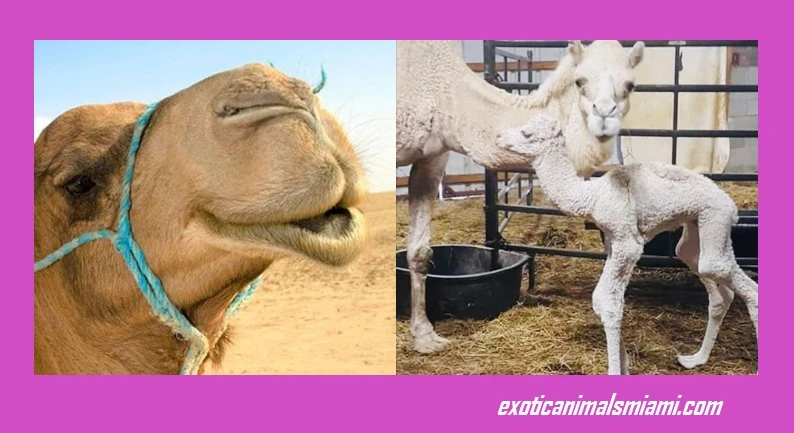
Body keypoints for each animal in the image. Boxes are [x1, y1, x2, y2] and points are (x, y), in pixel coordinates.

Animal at [397, 40, 645, 353]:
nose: (604, 116)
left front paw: (425, 336)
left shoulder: (432, 156)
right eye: (580, 81)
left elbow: (419, 252)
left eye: (630, 84)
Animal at [496, 113, 758, 374]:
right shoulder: (613, 241)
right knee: (714, 285)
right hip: (697, 228)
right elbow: (600, 300)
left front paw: (615, 370)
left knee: (736, 281)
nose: (498, 137)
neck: (592, 196)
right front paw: (625, 364)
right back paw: (695, 359)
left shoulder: (627, 243)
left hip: (715, 218)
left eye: (527, 133)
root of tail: (732, 206)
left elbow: (609, 303)